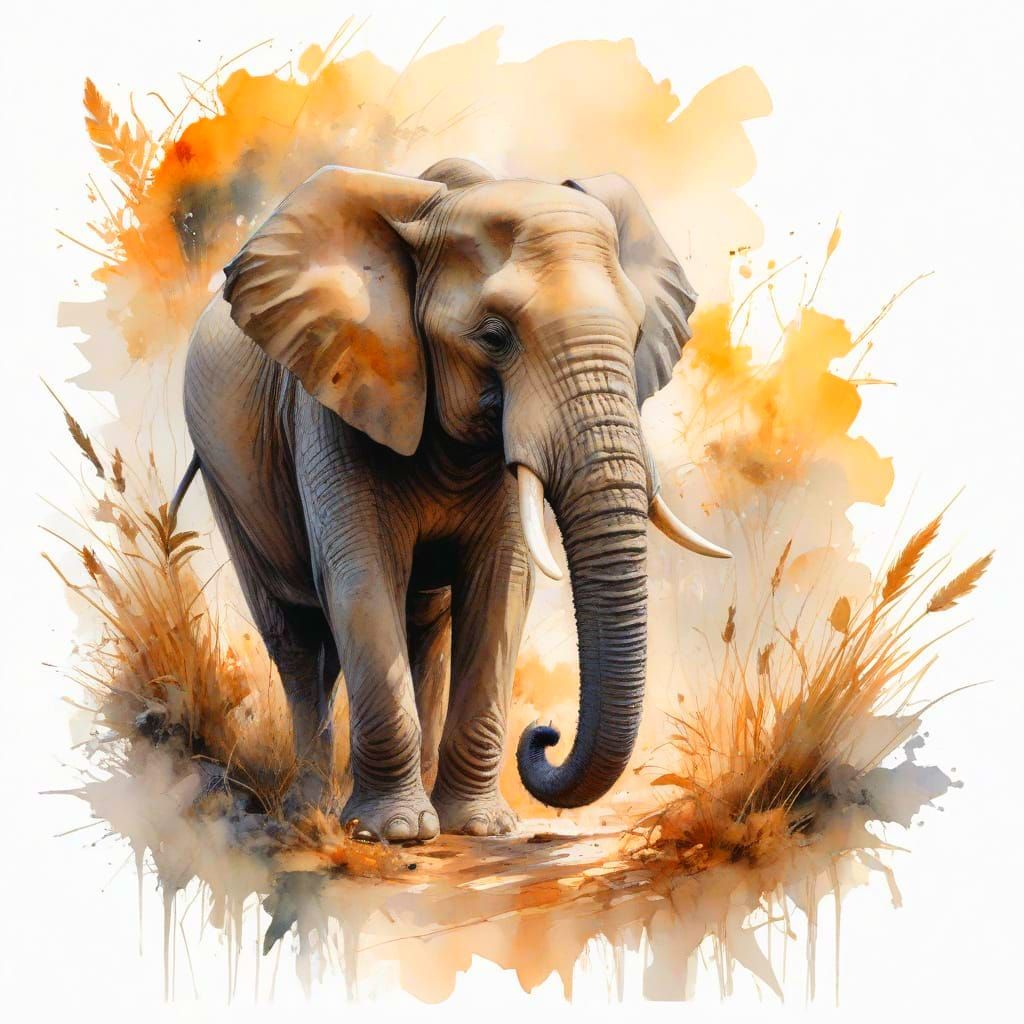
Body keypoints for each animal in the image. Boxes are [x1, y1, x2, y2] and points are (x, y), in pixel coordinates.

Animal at [176, 156, 730, 844]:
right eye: (494, 336)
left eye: (634, 336)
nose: (545, 734)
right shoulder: (334, 395)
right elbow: (360, 576)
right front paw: (392, 834)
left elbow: (502, 585)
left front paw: (478, 829)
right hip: (226, 476)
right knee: (297, 641)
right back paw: (309, 813)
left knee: (422, 629)